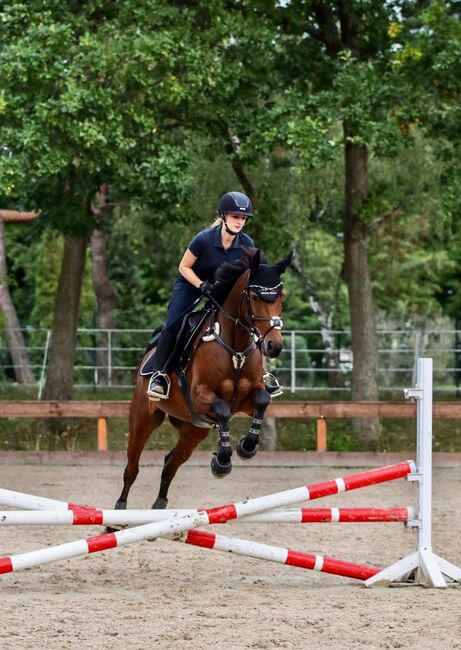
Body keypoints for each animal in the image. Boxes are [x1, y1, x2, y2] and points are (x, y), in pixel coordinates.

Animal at [112, 248, 292, 512]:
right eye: (254, 297)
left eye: (281, 297)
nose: (274, 346)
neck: (235, 349)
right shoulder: (200, 397)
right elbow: (223, 410)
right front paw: (222, 461)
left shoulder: (247, 401)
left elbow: (261, 400)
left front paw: (246, 447)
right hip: (143, 419)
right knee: (131, 466)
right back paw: (118, 510)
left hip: (193, 430)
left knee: (171, 462)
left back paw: (160, 505)